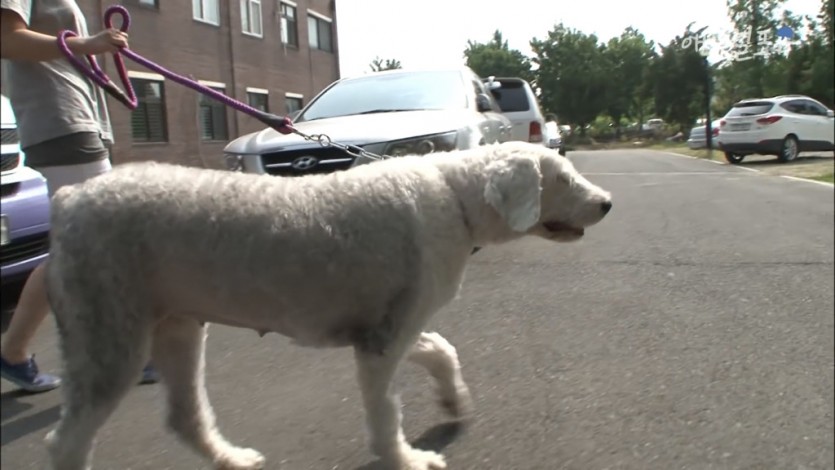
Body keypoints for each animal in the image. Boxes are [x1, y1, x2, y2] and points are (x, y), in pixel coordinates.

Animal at [42, 141, 612, 468]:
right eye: (562, 179)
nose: (606, 204)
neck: (452, 194)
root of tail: (69, 200)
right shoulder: (381, 343)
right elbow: (385, 412)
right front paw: (406, 458)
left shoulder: (391, 324)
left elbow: (438, 349)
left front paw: (452, 402)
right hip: (108, 328)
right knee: (67, 442)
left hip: (177, 325)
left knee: (185, 417)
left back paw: (232, 458)